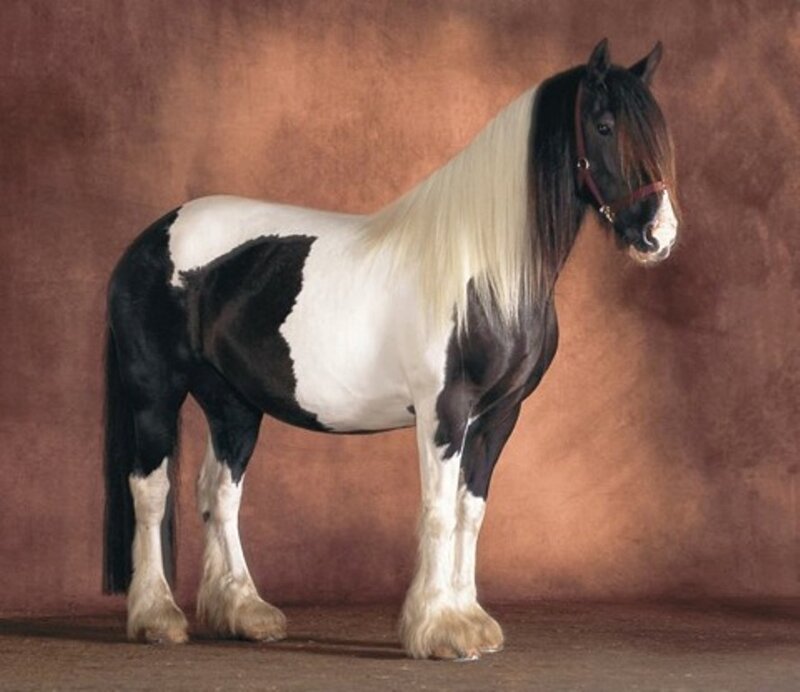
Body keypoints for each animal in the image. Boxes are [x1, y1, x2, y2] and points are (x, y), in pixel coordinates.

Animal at [103, 39, 679, 660]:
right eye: (603, 125)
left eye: (657, 132)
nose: (659, 236)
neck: (486, 270)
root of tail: (151, 237)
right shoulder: (444, 410)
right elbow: (438, 511)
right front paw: (440, 628)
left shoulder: (500, 416)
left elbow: (470, 511)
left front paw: (471, 619)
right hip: (155, 393)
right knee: (151, 491)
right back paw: (157, 616)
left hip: (233, 403)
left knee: (220, 492)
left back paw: (244, 611)